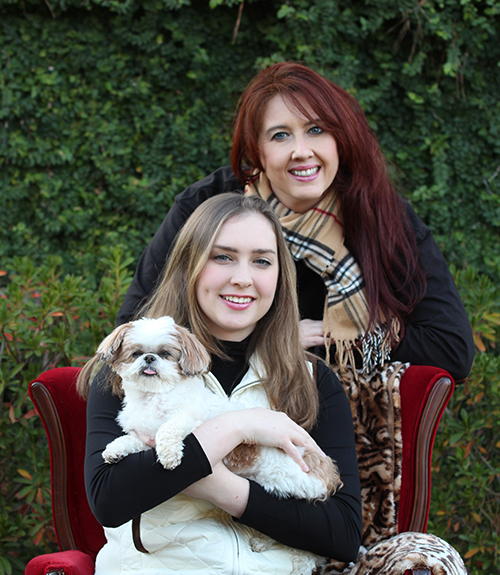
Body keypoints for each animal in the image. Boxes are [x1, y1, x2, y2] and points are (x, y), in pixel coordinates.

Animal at [97, 316, 342, 504]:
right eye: (135, 353)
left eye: (165, 354)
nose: (149, 357)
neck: (154, 395)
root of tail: (324, 466)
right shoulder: (144, 434)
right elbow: (131, 440)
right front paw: (115, 449)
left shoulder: (191, 416)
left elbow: (168, 429)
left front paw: (169, 455)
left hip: (289, 478)